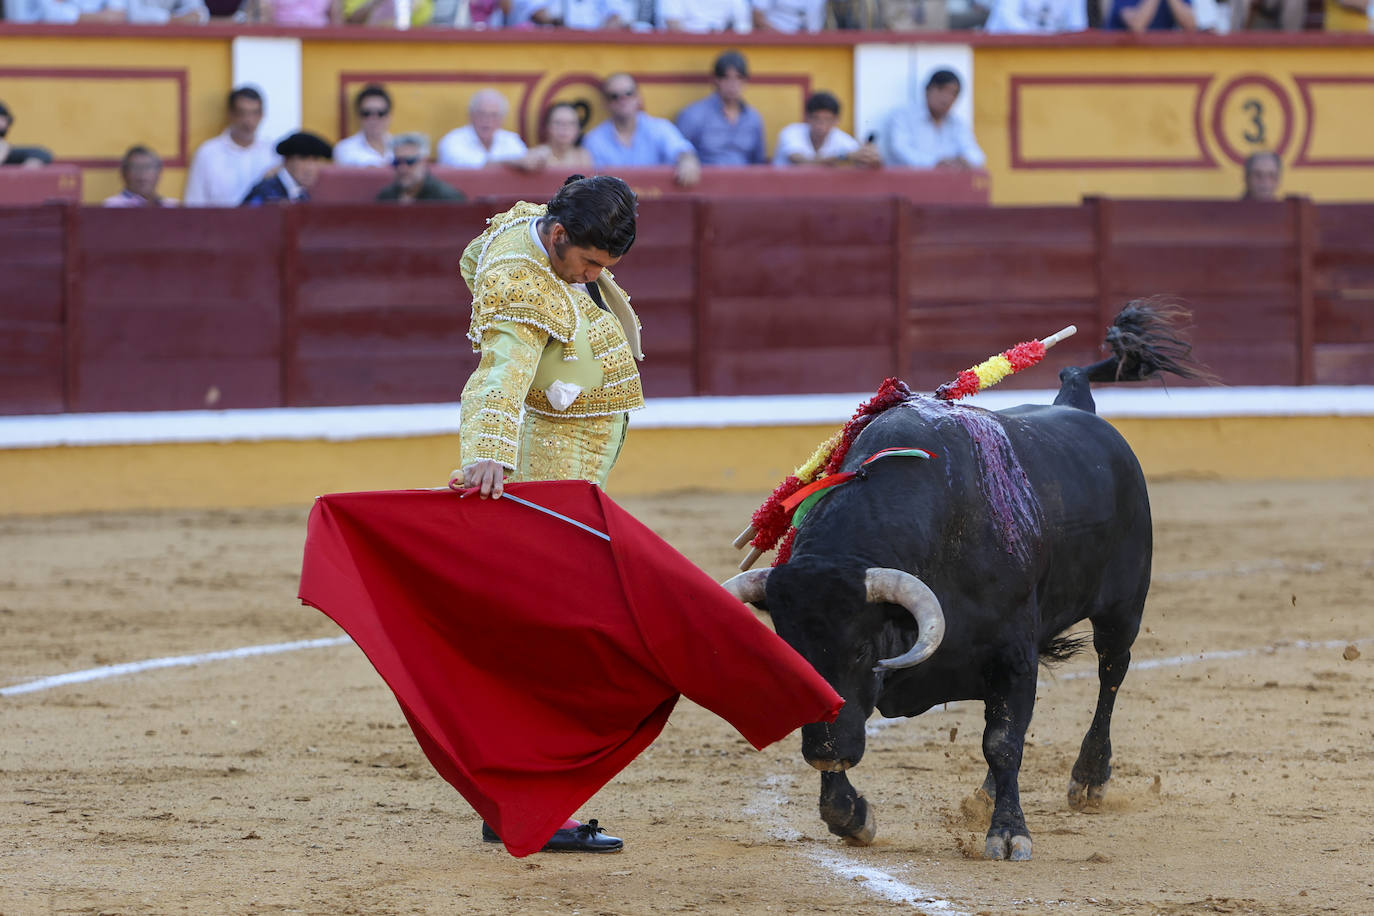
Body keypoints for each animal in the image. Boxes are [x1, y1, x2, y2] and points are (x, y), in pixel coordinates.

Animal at [725, 306, 1209, 862]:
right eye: (791, 654)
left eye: (861, 650)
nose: (826, 754)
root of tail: (1077, 405)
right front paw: (849, 814)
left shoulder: (1014, 655)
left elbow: (1002, 741)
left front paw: (1009, 833)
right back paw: (984, 796)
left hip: (1123, 607)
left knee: (1112, 673)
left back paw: (1088, 779)